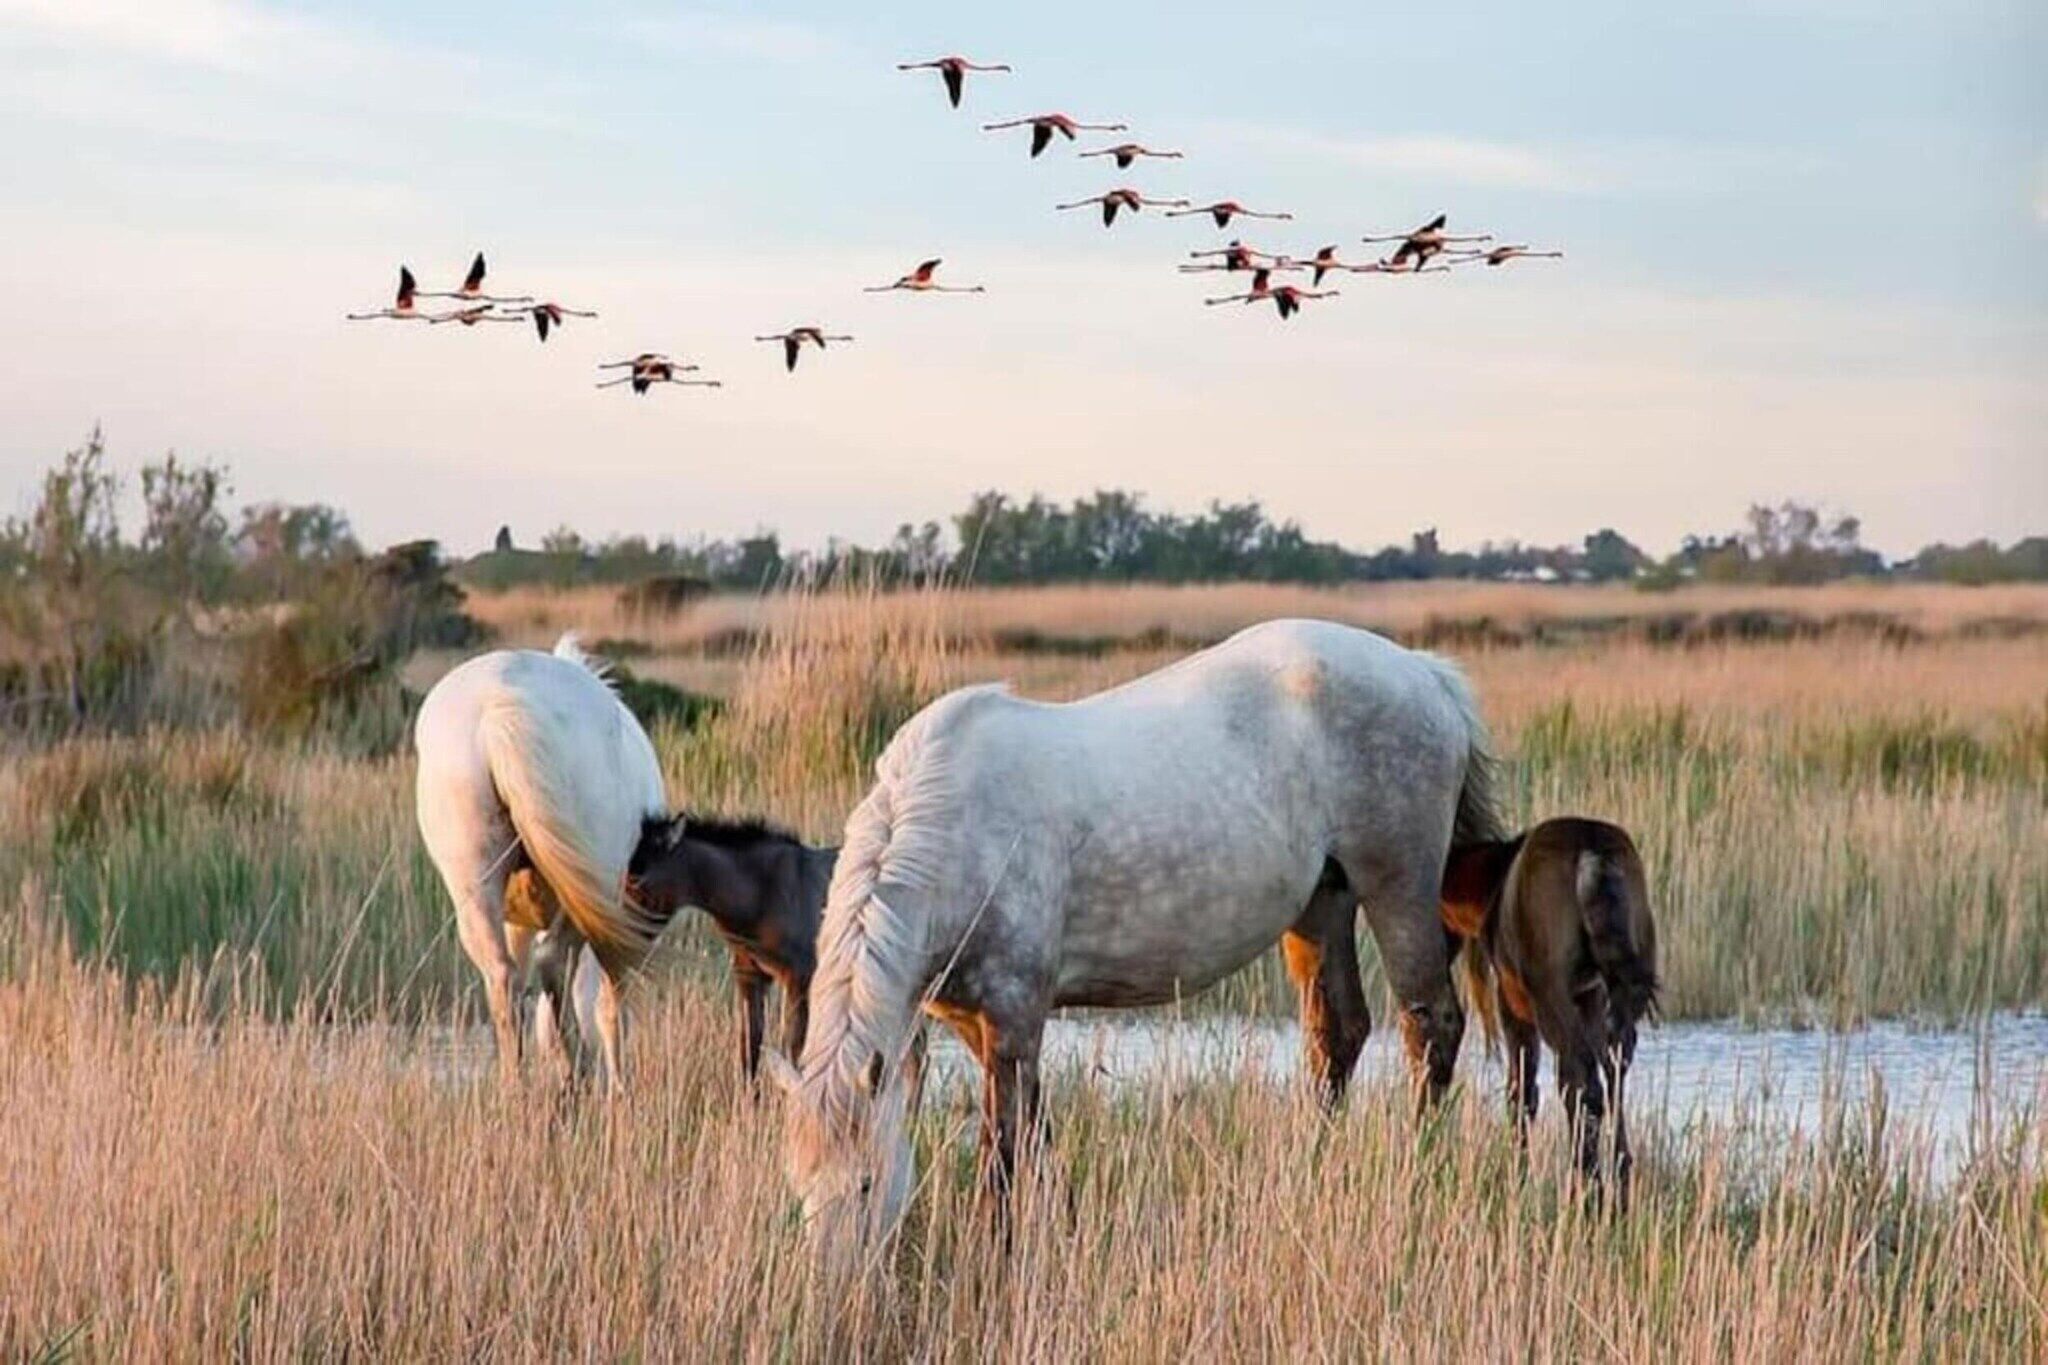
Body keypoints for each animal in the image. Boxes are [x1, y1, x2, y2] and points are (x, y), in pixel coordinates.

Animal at [414, 636, 670, 1094]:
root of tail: (497, 707)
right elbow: (608, 1004)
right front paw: (619, 1087)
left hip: (475, 884)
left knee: (503, 975)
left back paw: (516, 1087)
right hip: (594, 884)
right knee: (555, 961)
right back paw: (576, 1073)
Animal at [626, 814, 837, 1082]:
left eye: (636, 880)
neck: (763, 895)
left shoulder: (799, 979)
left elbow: (796, 1049)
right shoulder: (749, 976)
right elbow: (749, 1048)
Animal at [765, 618, 1505, 1260]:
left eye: (866, 1182)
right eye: (798, 1186)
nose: (838, 1291)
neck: (953, 828)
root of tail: (1426, 673)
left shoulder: (1013, 1012)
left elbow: (1003, 1144)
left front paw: (993, 1247)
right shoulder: (977, 1021)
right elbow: (1036, 1127)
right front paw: (1061, 1224)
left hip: (1397, 886)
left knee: (1430, 1026)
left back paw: (1418, 1167)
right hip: (1323, 904)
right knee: (1338, 1034)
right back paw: (1309, 1165)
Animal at [1440, 817, 1660, 1187]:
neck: (1490, 886)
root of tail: (1592, 852)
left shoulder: (1512, 1001)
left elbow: (1522, 1090)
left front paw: (1518, 1173)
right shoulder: (1589, 996)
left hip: (1548, 995)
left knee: (1579, 1078)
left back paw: (1586, 1180)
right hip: (1620, 987)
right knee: (1613, 1067)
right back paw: (1618, 1175)